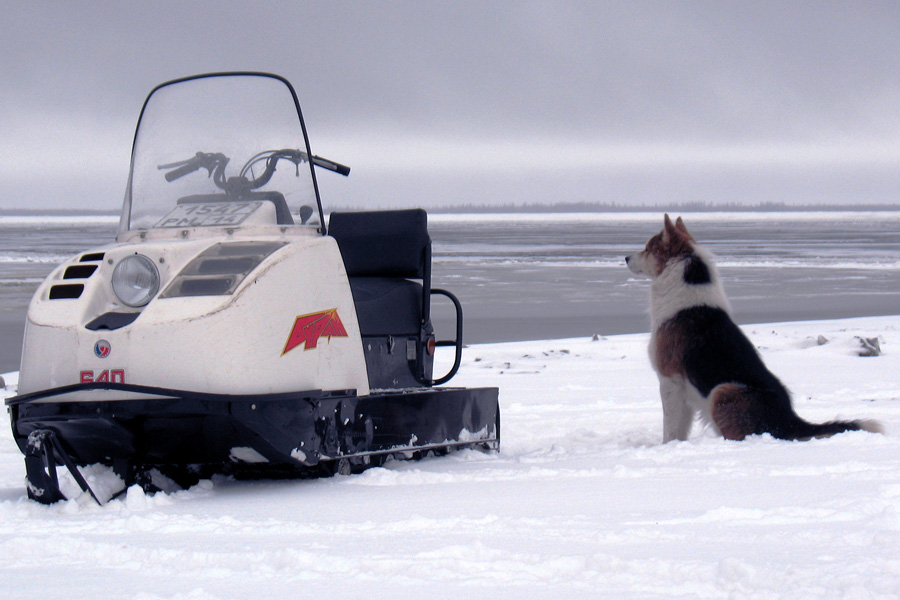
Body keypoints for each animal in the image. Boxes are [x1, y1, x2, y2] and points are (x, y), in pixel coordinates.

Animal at [624, 214, 880, 440]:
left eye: (648, 248)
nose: (625, 257)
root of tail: (789, 419)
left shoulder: (670, 382)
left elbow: (670, 428)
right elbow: (680, 429)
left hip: (722, 391)